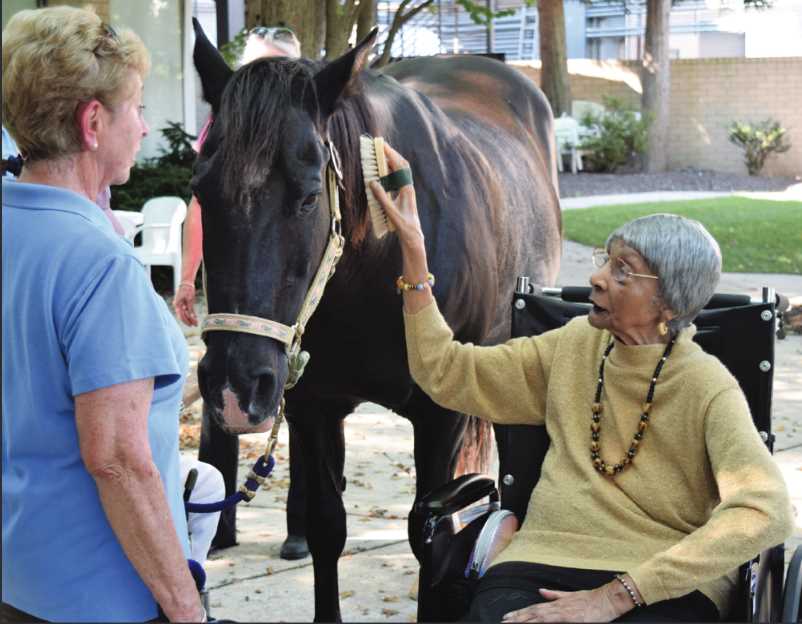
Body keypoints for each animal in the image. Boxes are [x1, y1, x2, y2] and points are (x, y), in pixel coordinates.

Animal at [191, 20, 561, 622]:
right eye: (200, 190)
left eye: (309, 197)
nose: (234, 386)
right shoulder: (312, 405)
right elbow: (326, 526)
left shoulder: (441, 416)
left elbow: (429, 532)